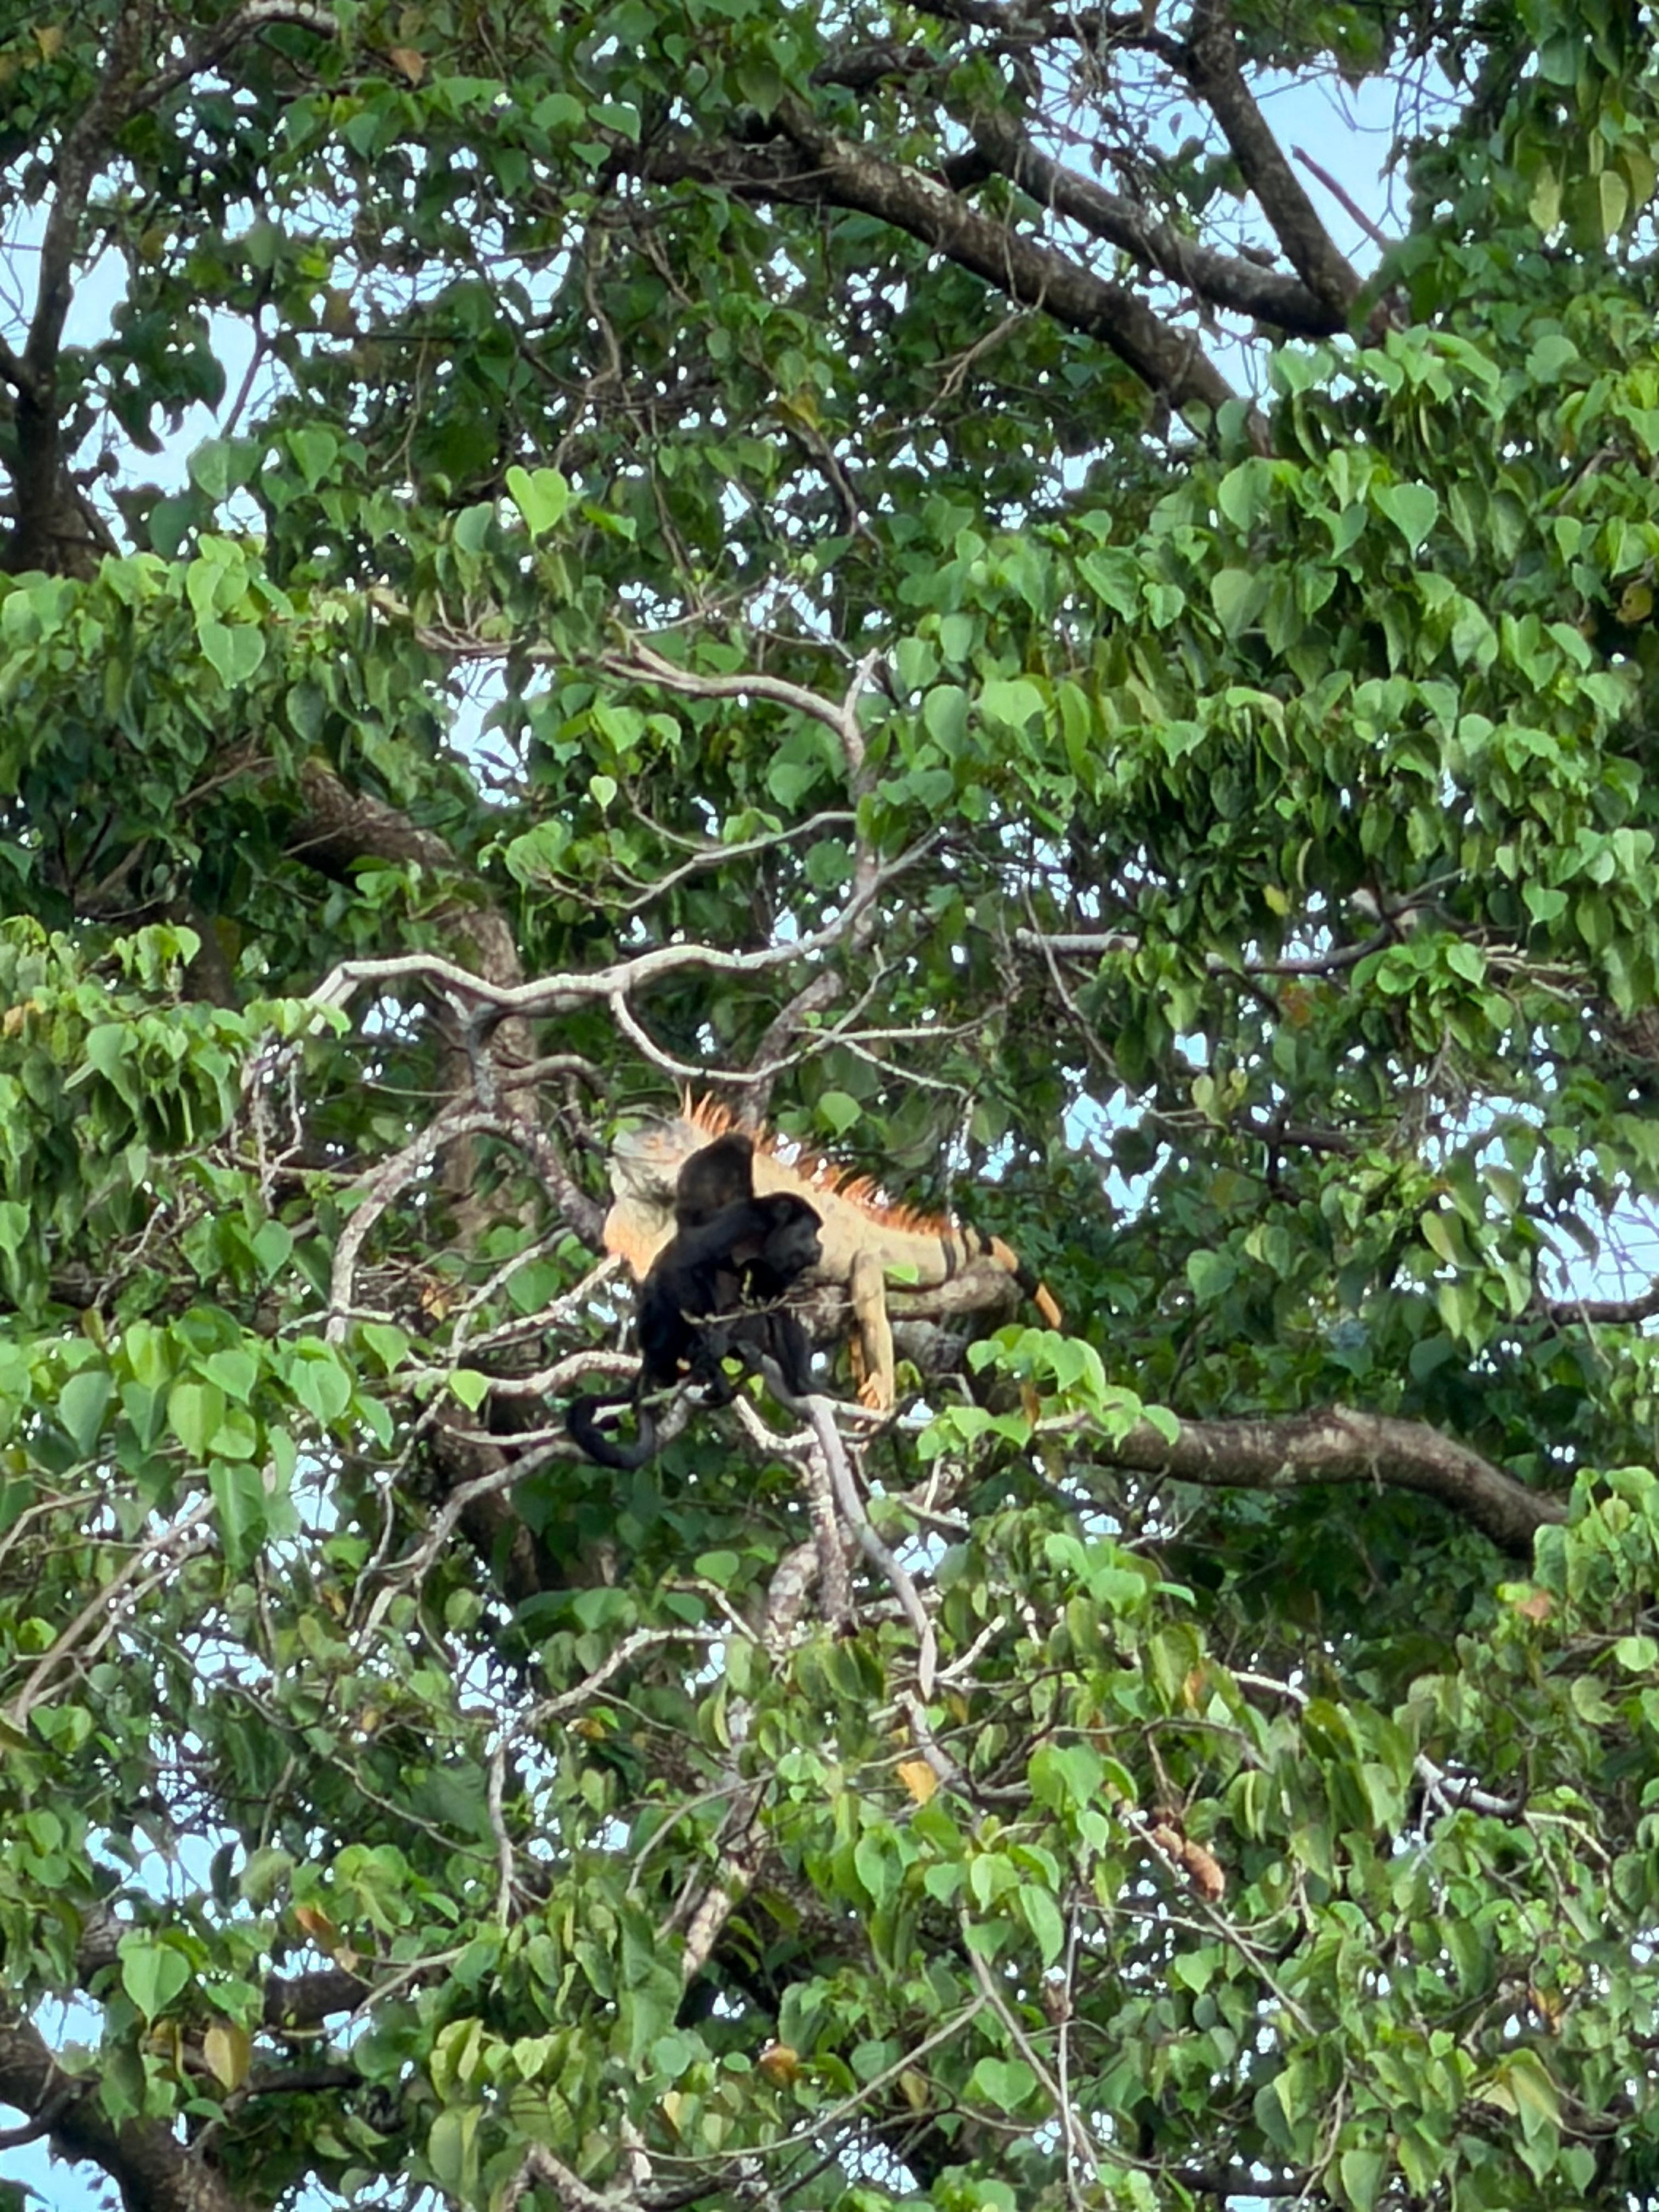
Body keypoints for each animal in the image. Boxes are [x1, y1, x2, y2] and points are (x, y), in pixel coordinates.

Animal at [566, 1187, 822, 1469]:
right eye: (809, 1233)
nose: (819, 1247)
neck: (767, 1237)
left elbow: (782, 1307)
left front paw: (805, 1383)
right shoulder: (744, 1220)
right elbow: (682, 1265)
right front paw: (710, 1342)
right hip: (655, 1331)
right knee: (674, 1288)